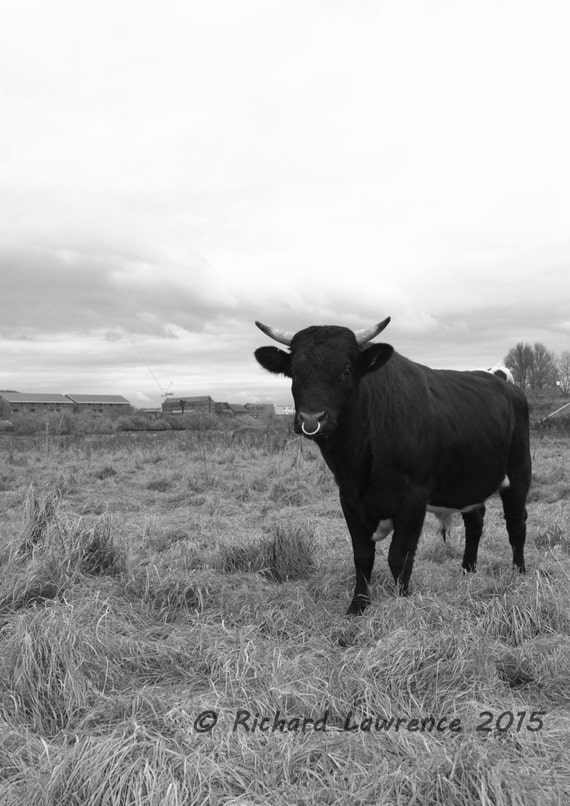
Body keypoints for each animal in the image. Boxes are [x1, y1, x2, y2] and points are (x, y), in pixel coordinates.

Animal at [254, 317, 531, 615]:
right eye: (294, 372)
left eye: (347, 370)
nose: (311, 419)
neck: (359, 467)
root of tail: (500, 379)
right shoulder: (349, 500)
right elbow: (362, 557)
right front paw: (358, 605)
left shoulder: (413, 498)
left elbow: (399, 556)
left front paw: (403, 601)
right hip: (469, 481)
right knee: (475, 522)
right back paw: (468, 570)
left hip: (519, 472)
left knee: (516, 524)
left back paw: (518, 573)